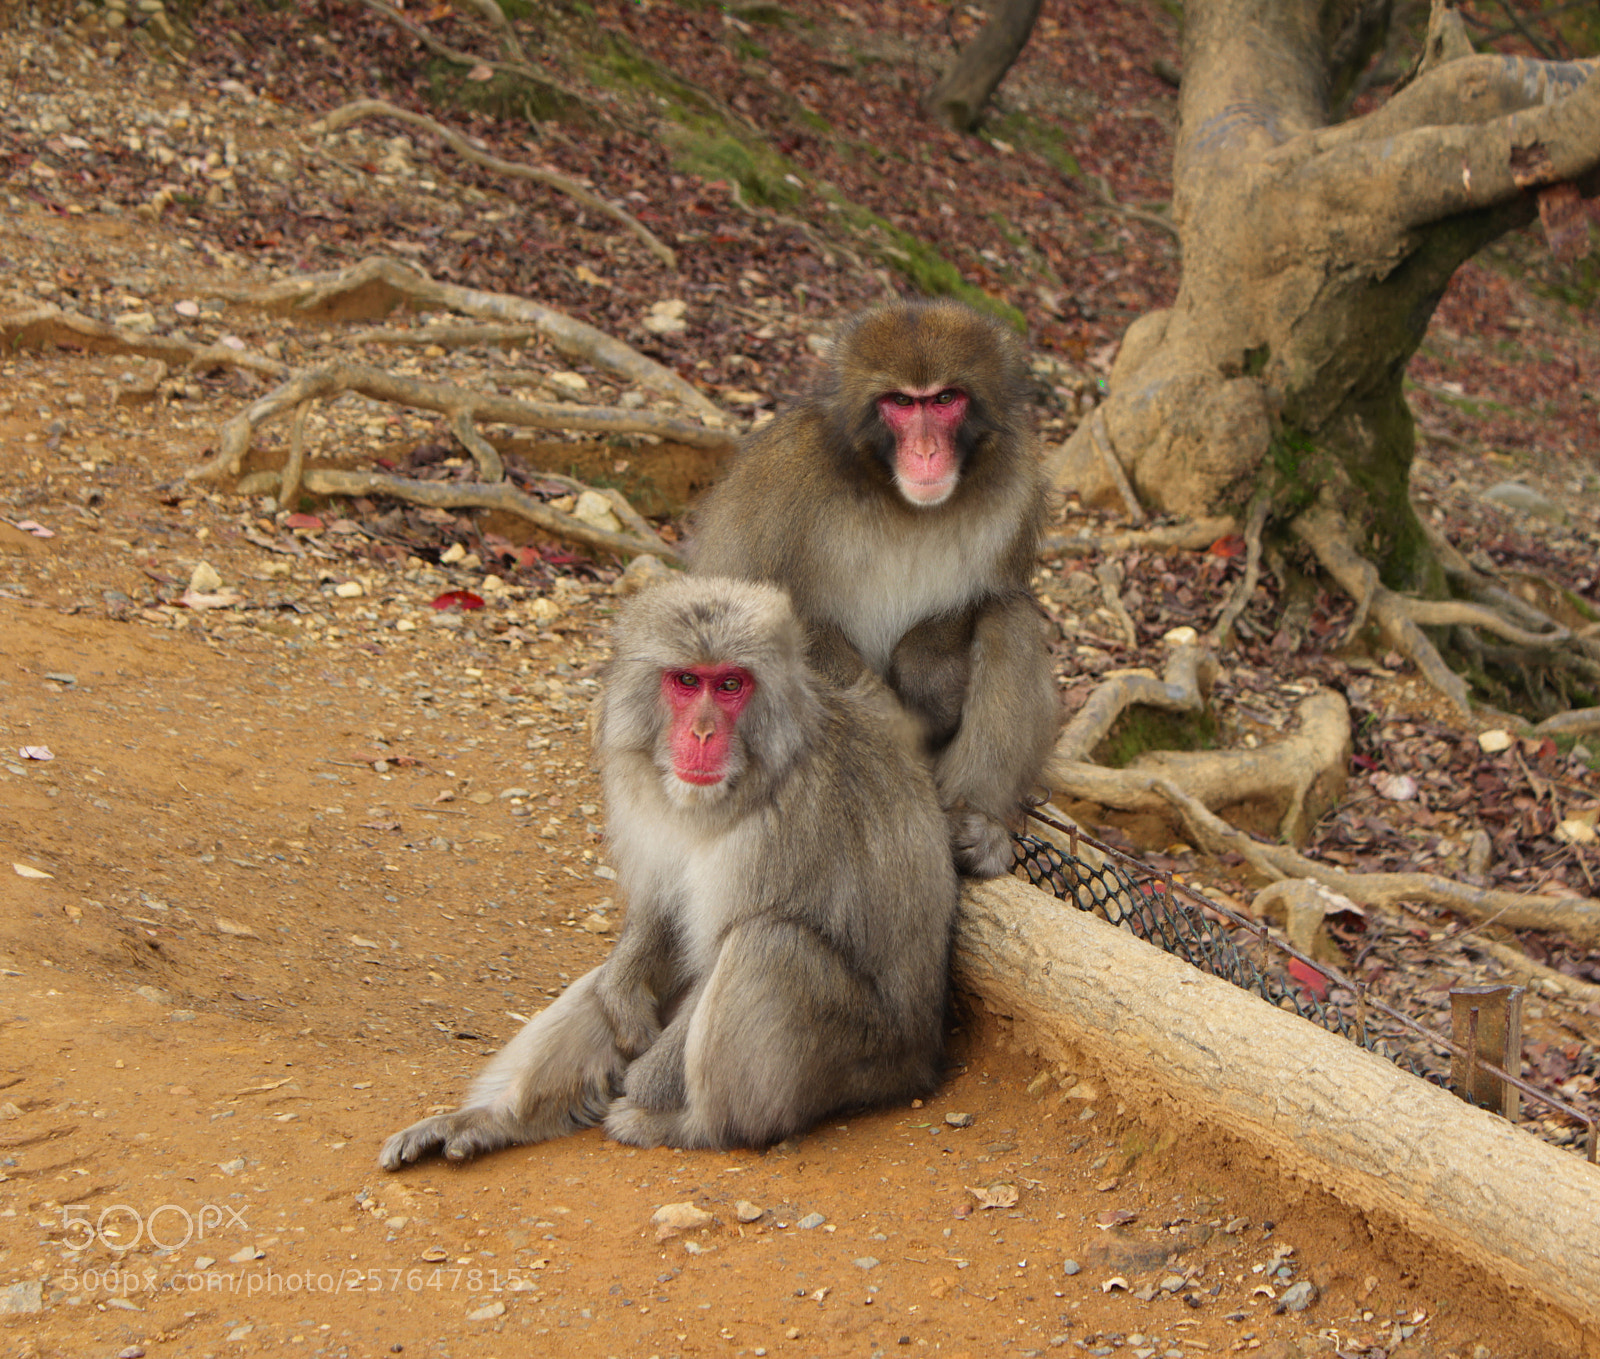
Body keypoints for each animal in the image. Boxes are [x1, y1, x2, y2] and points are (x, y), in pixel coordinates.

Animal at [378, 575, 960, 1165]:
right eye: (686, 680)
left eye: (730, 685)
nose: (702, 734)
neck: (744, 784)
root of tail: (919, 1060)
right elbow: (659, 909)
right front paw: (620, 989)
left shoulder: (785, 828)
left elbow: (723, 948)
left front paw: (646, 1082)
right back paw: (498, 1120)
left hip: (862, 1060)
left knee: (767, 943)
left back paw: (695, 1127)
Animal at [689, 297, 1059, 880]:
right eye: (901, 402)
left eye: (945, 399)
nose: (927, 451)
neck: (896, 497)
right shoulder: (780, 479)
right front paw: (887, 719)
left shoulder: (1018, 486)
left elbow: (990, 596)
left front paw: (928, 670)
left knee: (1011, 620)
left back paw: (976, 825)